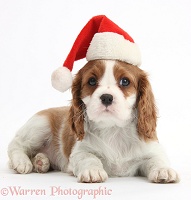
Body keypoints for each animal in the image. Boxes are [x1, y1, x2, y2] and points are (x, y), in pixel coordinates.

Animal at [7, 59, 179, 183]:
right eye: (91, 81)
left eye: (125, 81)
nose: (107, 97)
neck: (113, 129)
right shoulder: (80, 152)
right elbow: (89, 158)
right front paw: (93, 171)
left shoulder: (152, 149)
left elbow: (157, 159)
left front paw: (163, 170)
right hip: (40, 125)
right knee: (16, 144)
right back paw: (22, 162)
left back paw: (41, 162)